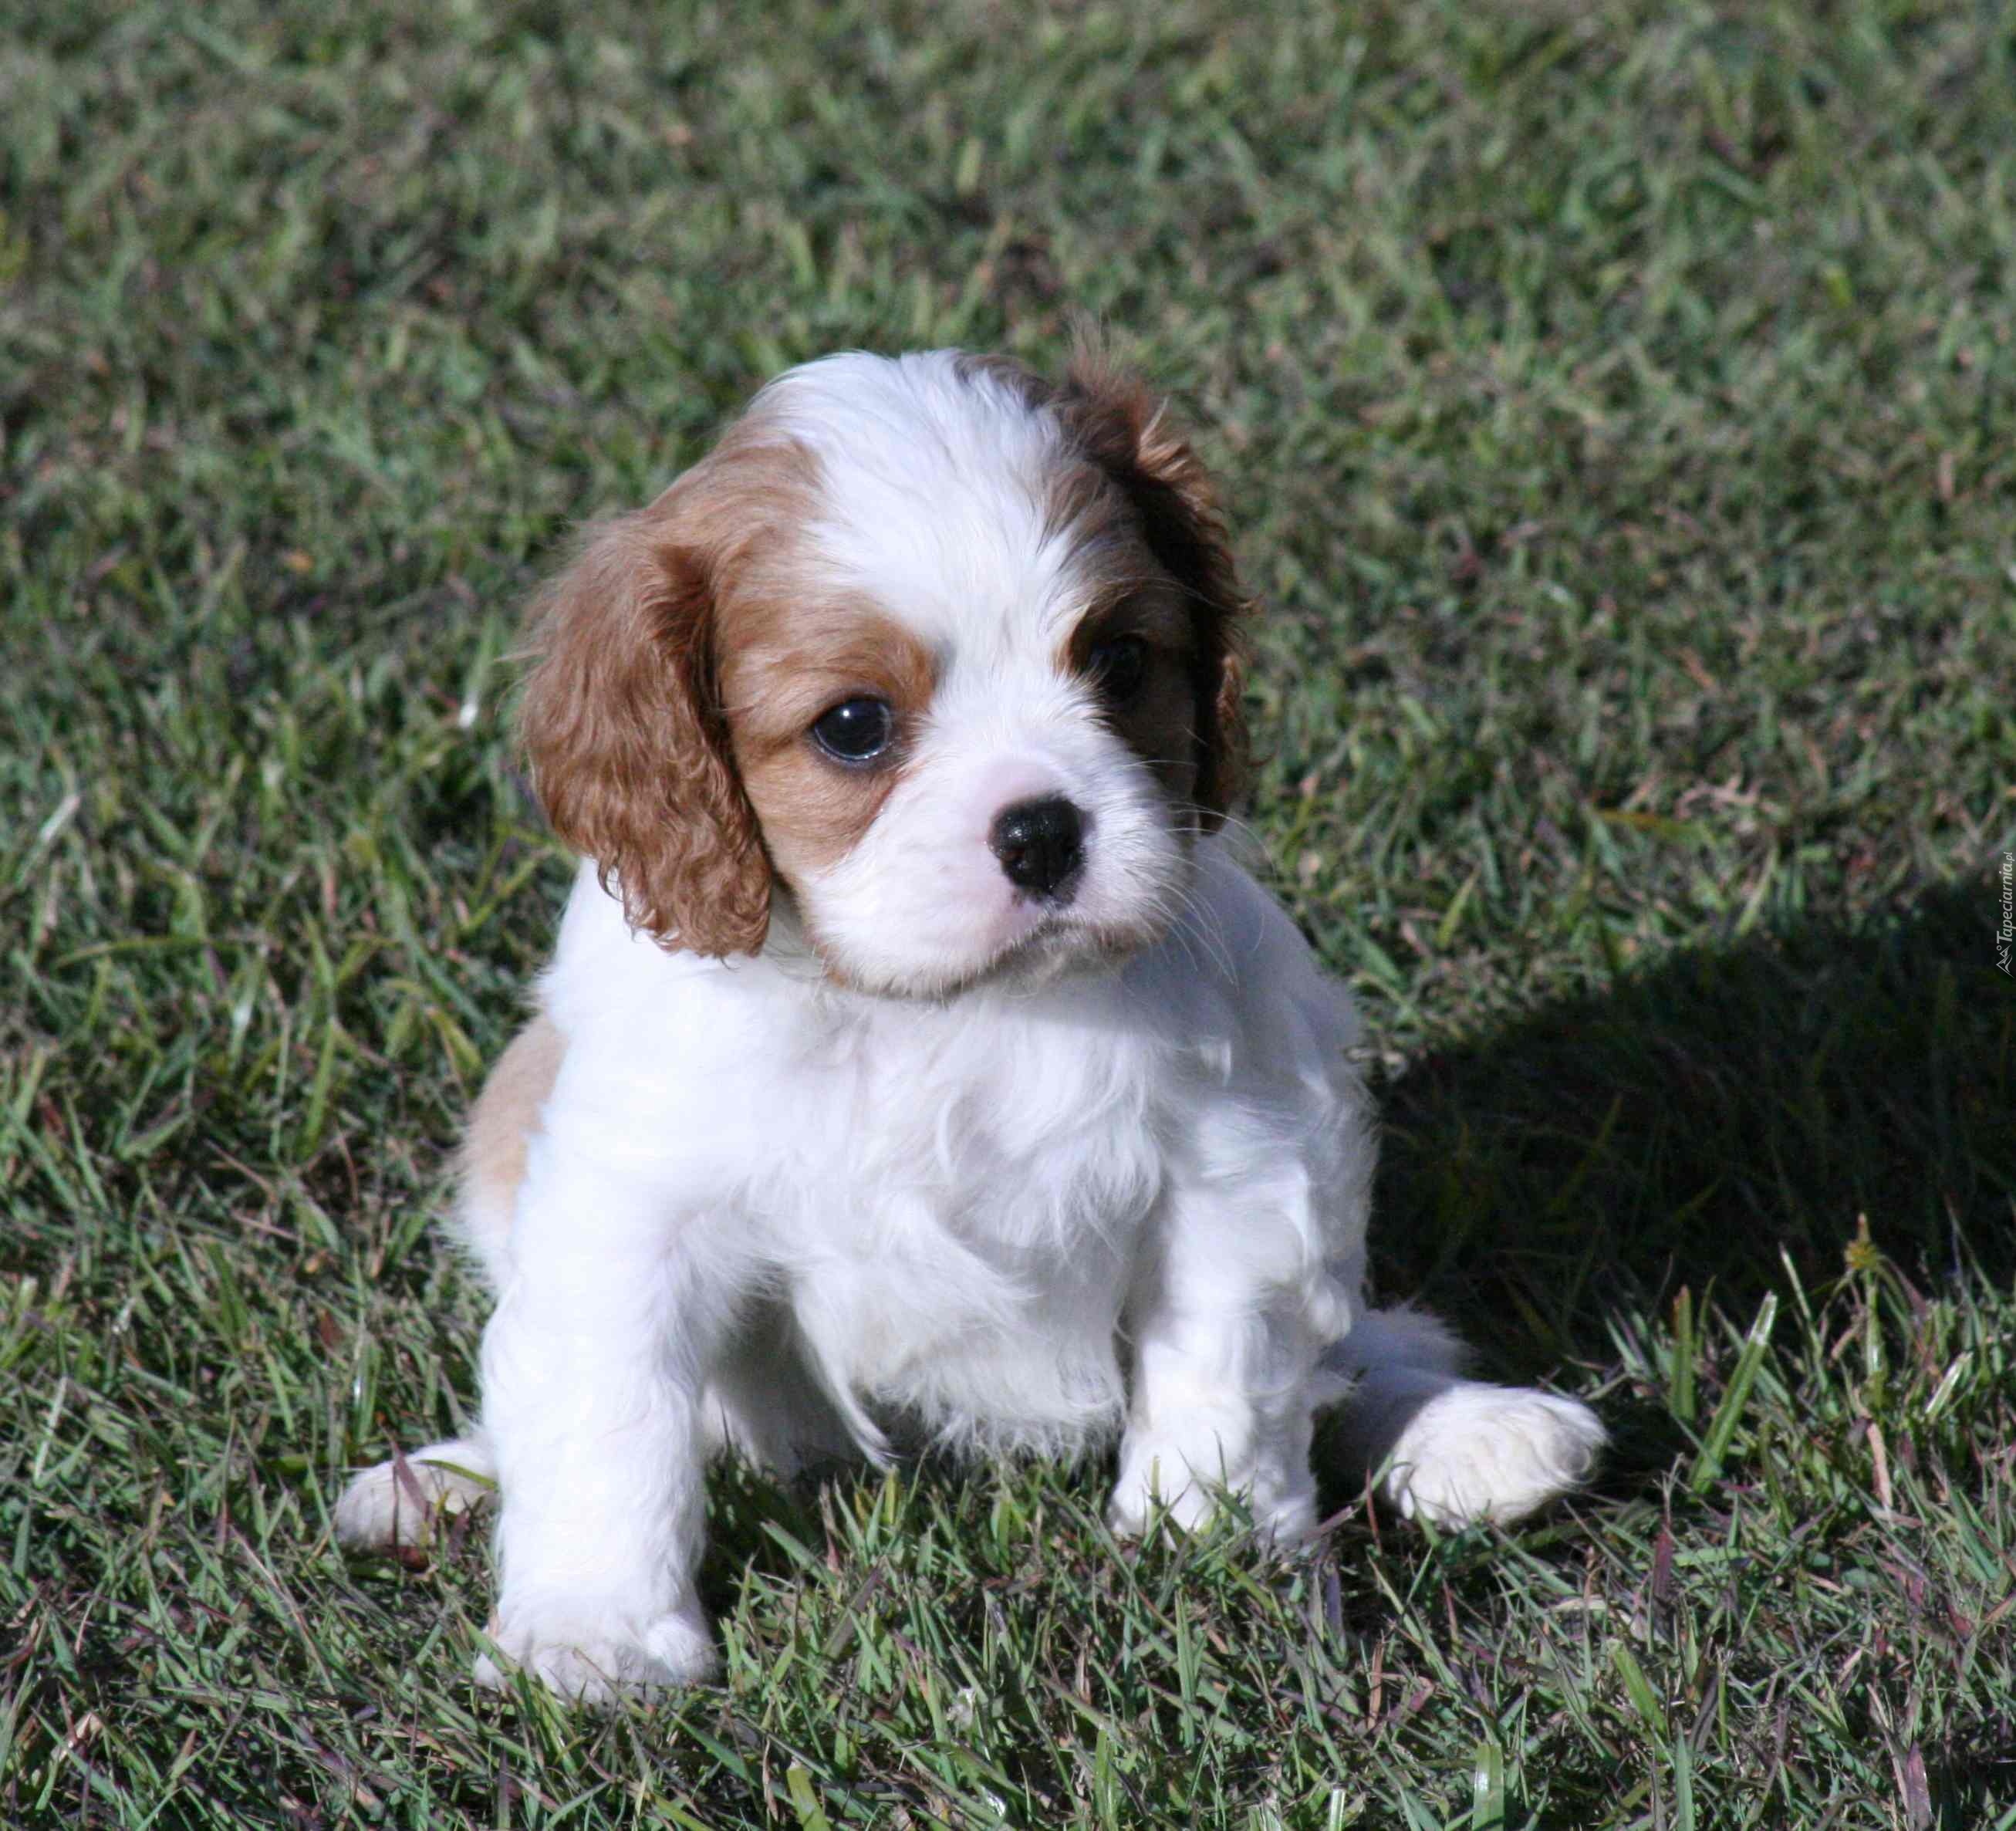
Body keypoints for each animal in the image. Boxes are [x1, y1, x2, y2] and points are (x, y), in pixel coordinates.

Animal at [343, 354, 1604, 1701]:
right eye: (854, 726)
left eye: (1120, 660)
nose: (1044, 830)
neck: (935, 1008)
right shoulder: (629, 1205)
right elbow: (607, 1407)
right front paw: (596, 1632)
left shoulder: (1239, 1167)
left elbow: (1226, 1377)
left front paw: (1215, 1568)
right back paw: (437, 1487)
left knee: (1352, 1347)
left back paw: (1472, 1432)